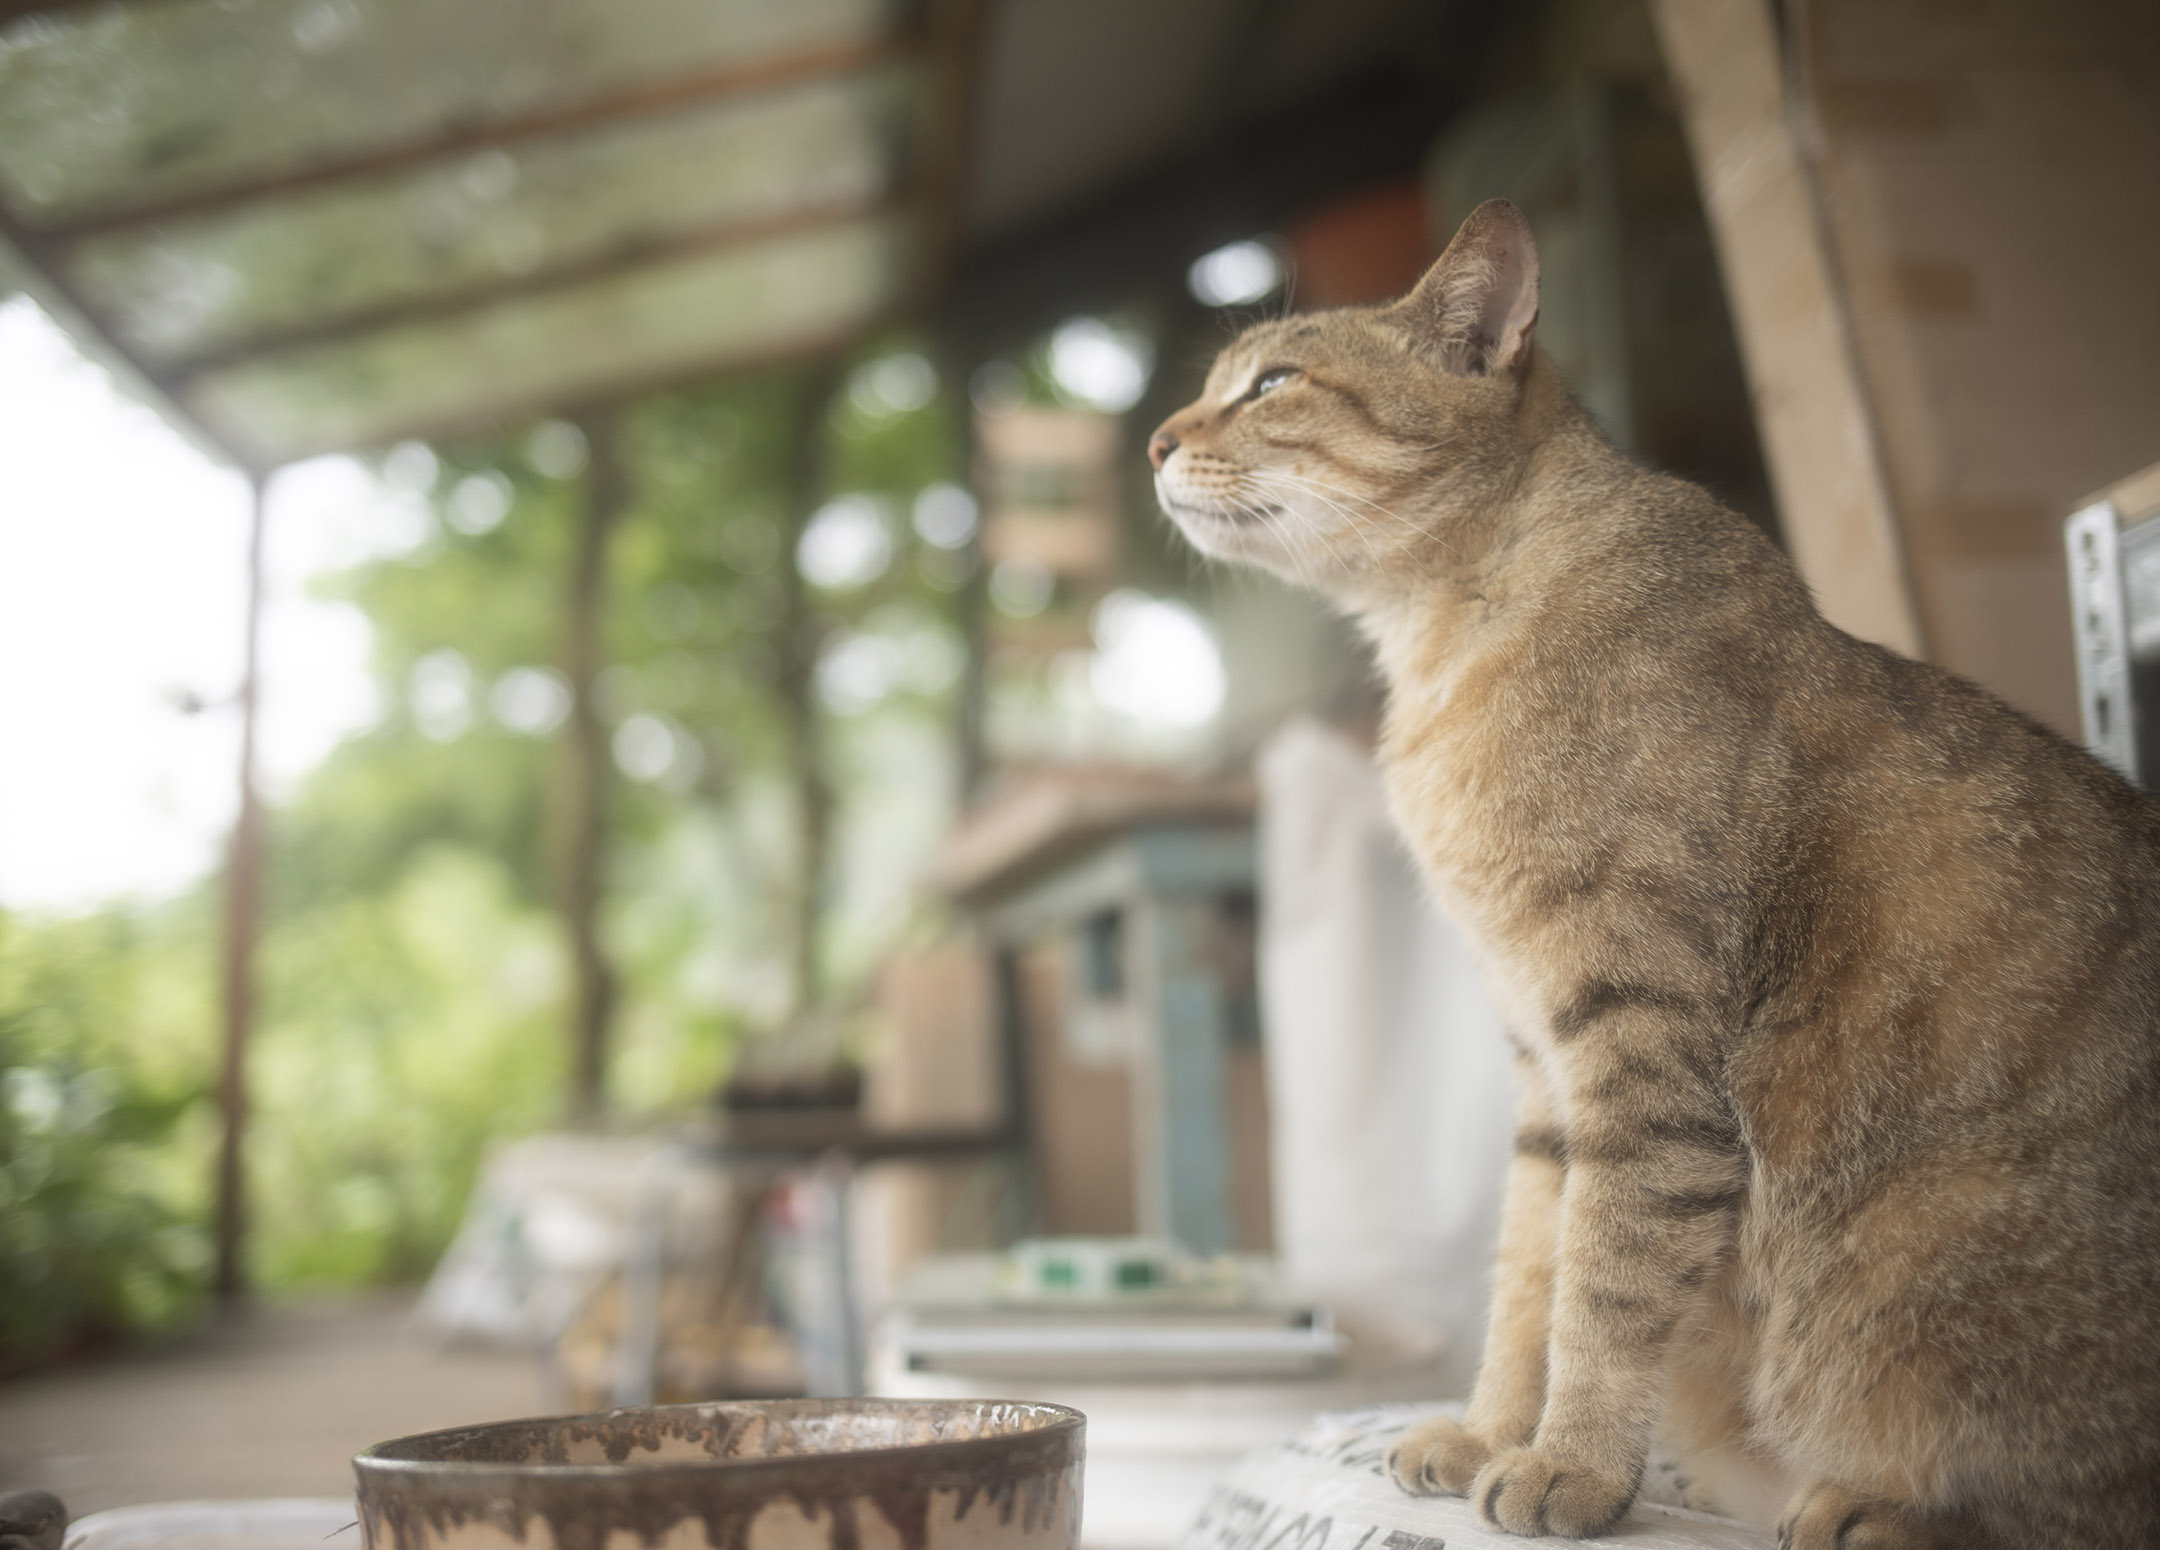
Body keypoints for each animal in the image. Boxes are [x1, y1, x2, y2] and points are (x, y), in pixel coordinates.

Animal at [1157, 200, 2160, 1545]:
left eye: (1270, 383)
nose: (1156, 437)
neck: (1439, 640)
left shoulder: (1641, 1048)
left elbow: (1603, 1283)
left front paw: (1570, 1460)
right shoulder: (1546, 1068)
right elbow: (1528, 1276)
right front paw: (1489, 1429)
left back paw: (1867, 1503)